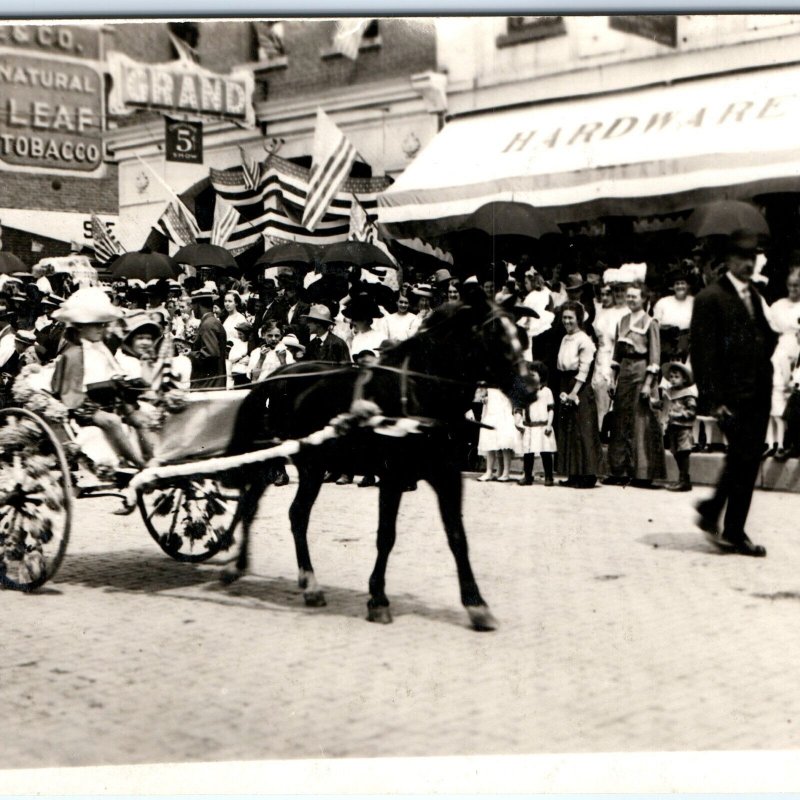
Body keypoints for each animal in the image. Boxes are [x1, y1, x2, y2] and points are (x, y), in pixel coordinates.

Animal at [222, 288, 540, 632]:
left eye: (522, 335)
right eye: (493, 335)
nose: (531, 388)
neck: (419, 390)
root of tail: (278, 375)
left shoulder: (447, 475)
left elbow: (457, 536)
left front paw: (476, 604)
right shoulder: (393, 475)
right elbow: (386, 536)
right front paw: (378, 599)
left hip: (312, 466)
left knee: (293, 514)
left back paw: (302, 582)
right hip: (278, 457)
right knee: (255, 503)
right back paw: (242, 567)